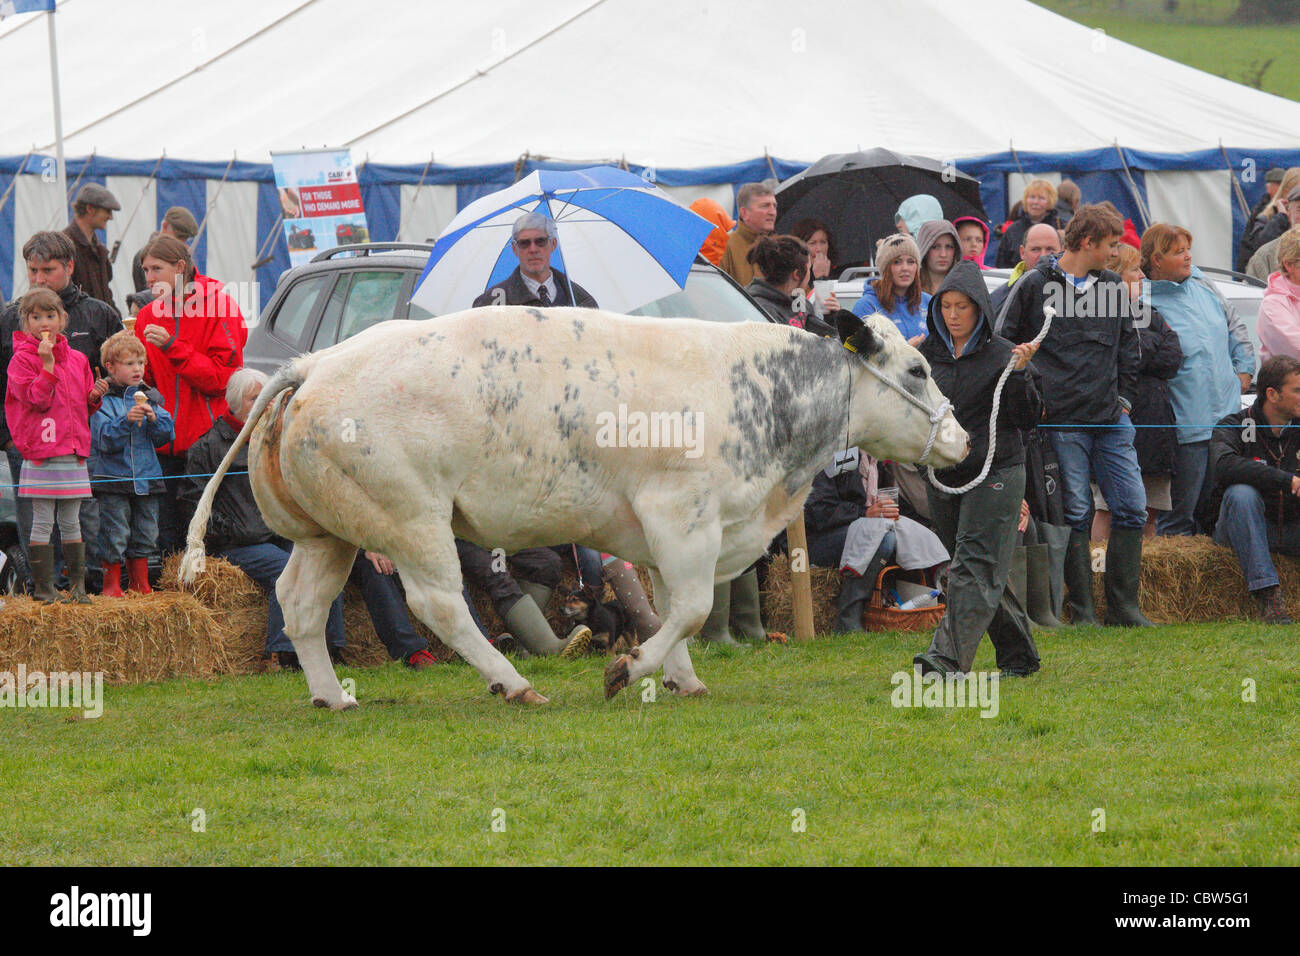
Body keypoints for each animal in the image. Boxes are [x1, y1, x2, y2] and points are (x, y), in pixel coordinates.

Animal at [180, 306, 967, 712]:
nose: (961, 438)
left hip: (328, 534)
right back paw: (514, 683)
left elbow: (668, 606)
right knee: (440, 605)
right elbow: (688, 608)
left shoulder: (671, 532)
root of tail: (314, 363)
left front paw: (679, 678)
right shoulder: (683, 516)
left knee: (300, 605)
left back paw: (332, 697)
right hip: (411, 521)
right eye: (917, 369)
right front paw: (630, 670)